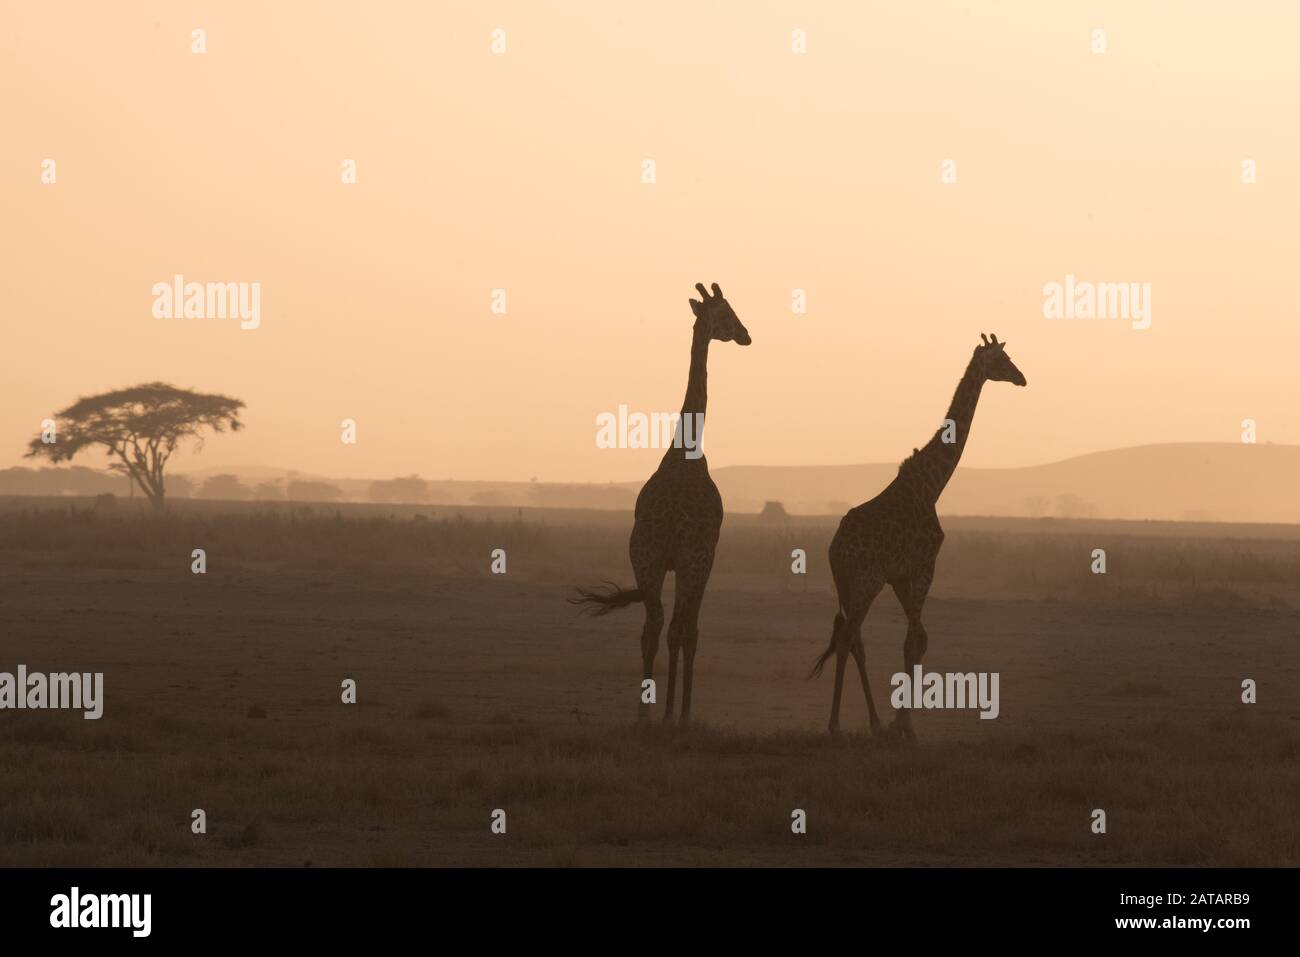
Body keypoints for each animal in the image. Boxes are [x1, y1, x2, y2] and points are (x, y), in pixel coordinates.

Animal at [570, 282, 751, 723]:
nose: (747, 335)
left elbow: (668, 631)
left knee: (651, 629)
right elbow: (690, 633)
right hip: (685, 563)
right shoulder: (701, 558)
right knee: (676, 629)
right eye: (727, 313)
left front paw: (662, 713)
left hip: (646, 560)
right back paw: (669, 716)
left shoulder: (663, 562)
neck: (685, 451)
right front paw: (681, 715)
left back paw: (643, 716)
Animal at [809, 333, 1026, 738]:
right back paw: (835, 724)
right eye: (1001, 359)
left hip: (848, 584)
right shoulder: (925, 565)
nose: (1022, 378)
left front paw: (898, 721)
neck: (932, 485)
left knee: (855, 638)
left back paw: (874, 722)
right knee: (848, 636)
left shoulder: (900, 575)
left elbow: (919, 638)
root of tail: (835, 550)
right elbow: (912, 641)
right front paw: (907, 727)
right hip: (865, 581)